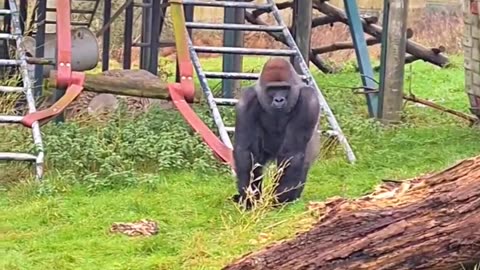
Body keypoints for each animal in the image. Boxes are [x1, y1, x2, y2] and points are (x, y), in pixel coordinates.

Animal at [232, 57, 320, 209]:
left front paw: (281, 197)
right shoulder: (246, 100)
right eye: (272, 89)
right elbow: (246, 152)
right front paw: (249, 196)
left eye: (284, 88)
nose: (279, 99)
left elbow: (292, 153)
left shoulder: (309, 100)